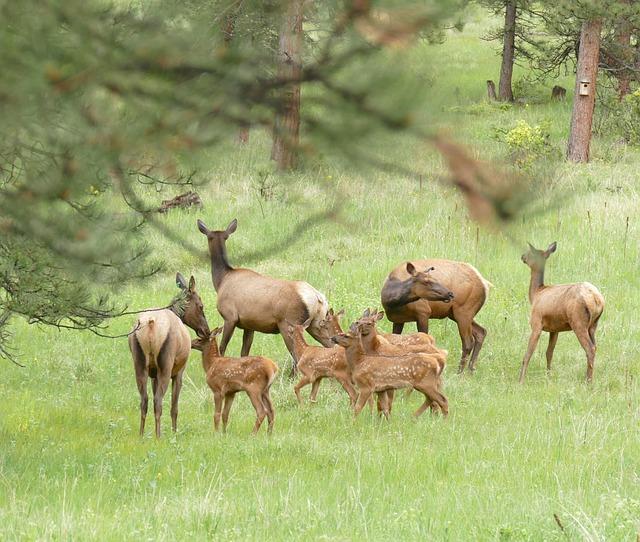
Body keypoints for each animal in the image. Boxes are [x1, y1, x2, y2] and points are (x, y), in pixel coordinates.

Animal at [128, 274, 210, 440]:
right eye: (201, 306)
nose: (207, 331)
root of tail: (150, 324)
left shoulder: (153, 375)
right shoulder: (179, 373)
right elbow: (174, 407)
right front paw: (174, 432)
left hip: (140, 365)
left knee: (144, 400)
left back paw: (141, 434)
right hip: (165, 366)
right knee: (158, 401)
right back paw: (159, 436)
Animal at [196, 219, 332, 372]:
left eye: (209, 237)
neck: (221, 280)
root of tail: (318, 298)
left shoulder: (230, 316)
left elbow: (222, 347)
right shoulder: (249, 324)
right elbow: (244, 352)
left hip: (289, 323)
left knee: (297, 355)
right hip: (317, 324)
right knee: (332, 345)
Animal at [516, 242, 604, 382]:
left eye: (530, 253)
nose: (522, 256)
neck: (536, 294)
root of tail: (597, 299)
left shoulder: (536, 323)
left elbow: (528, 354)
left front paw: (521, 381)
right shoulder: (554, 329)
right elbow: (549, 353)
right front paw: (548, 376)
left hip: (578, 322)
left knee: (589, 349)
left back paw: (588, 381)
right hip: (593, 325)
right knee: (595, 347)